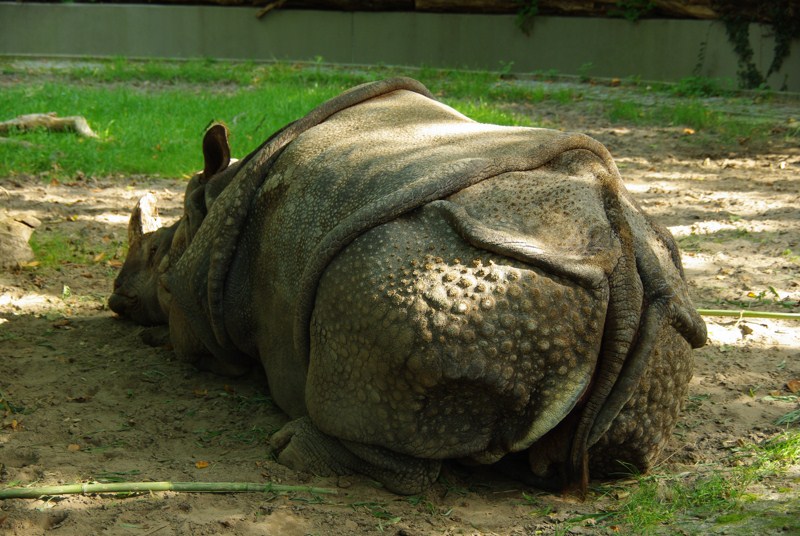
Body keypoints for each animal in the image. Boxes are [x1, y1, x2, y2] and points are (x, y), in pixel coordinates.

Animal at [109, 77, 706, 495]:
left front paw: (152, 335)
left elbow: (193, 341)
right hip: (661, 319)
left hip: (437, 289)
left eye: (155, 255)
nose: (117, 301)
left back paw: (291, 449)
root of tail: (621, 254)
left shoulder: (197, 300)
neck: (210, 200)